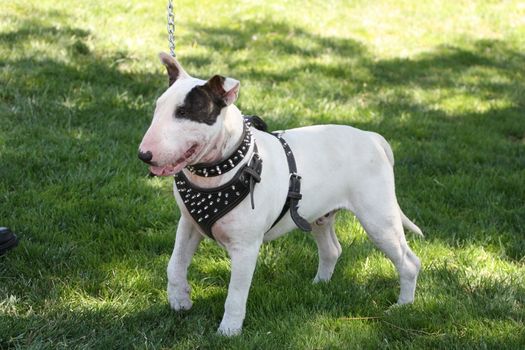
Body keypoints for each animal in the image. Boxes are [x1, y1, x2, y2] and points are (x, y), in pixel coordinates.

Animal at [138, 52, 422, 336]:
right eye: (158, 108)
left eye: (184, 112)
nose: (143, 155)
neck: (222, 169)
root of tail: (373, 137)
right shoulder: (188, 224)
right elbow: (175, 264)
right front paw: (179, 299)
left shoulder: (245, 247)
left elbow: (235, 293)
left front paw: (228, 331)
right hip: (319, 215)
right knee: (332, 249)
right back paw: (318, 285)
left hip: (378, 218)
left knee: (409, 262)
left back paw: (402, 306)